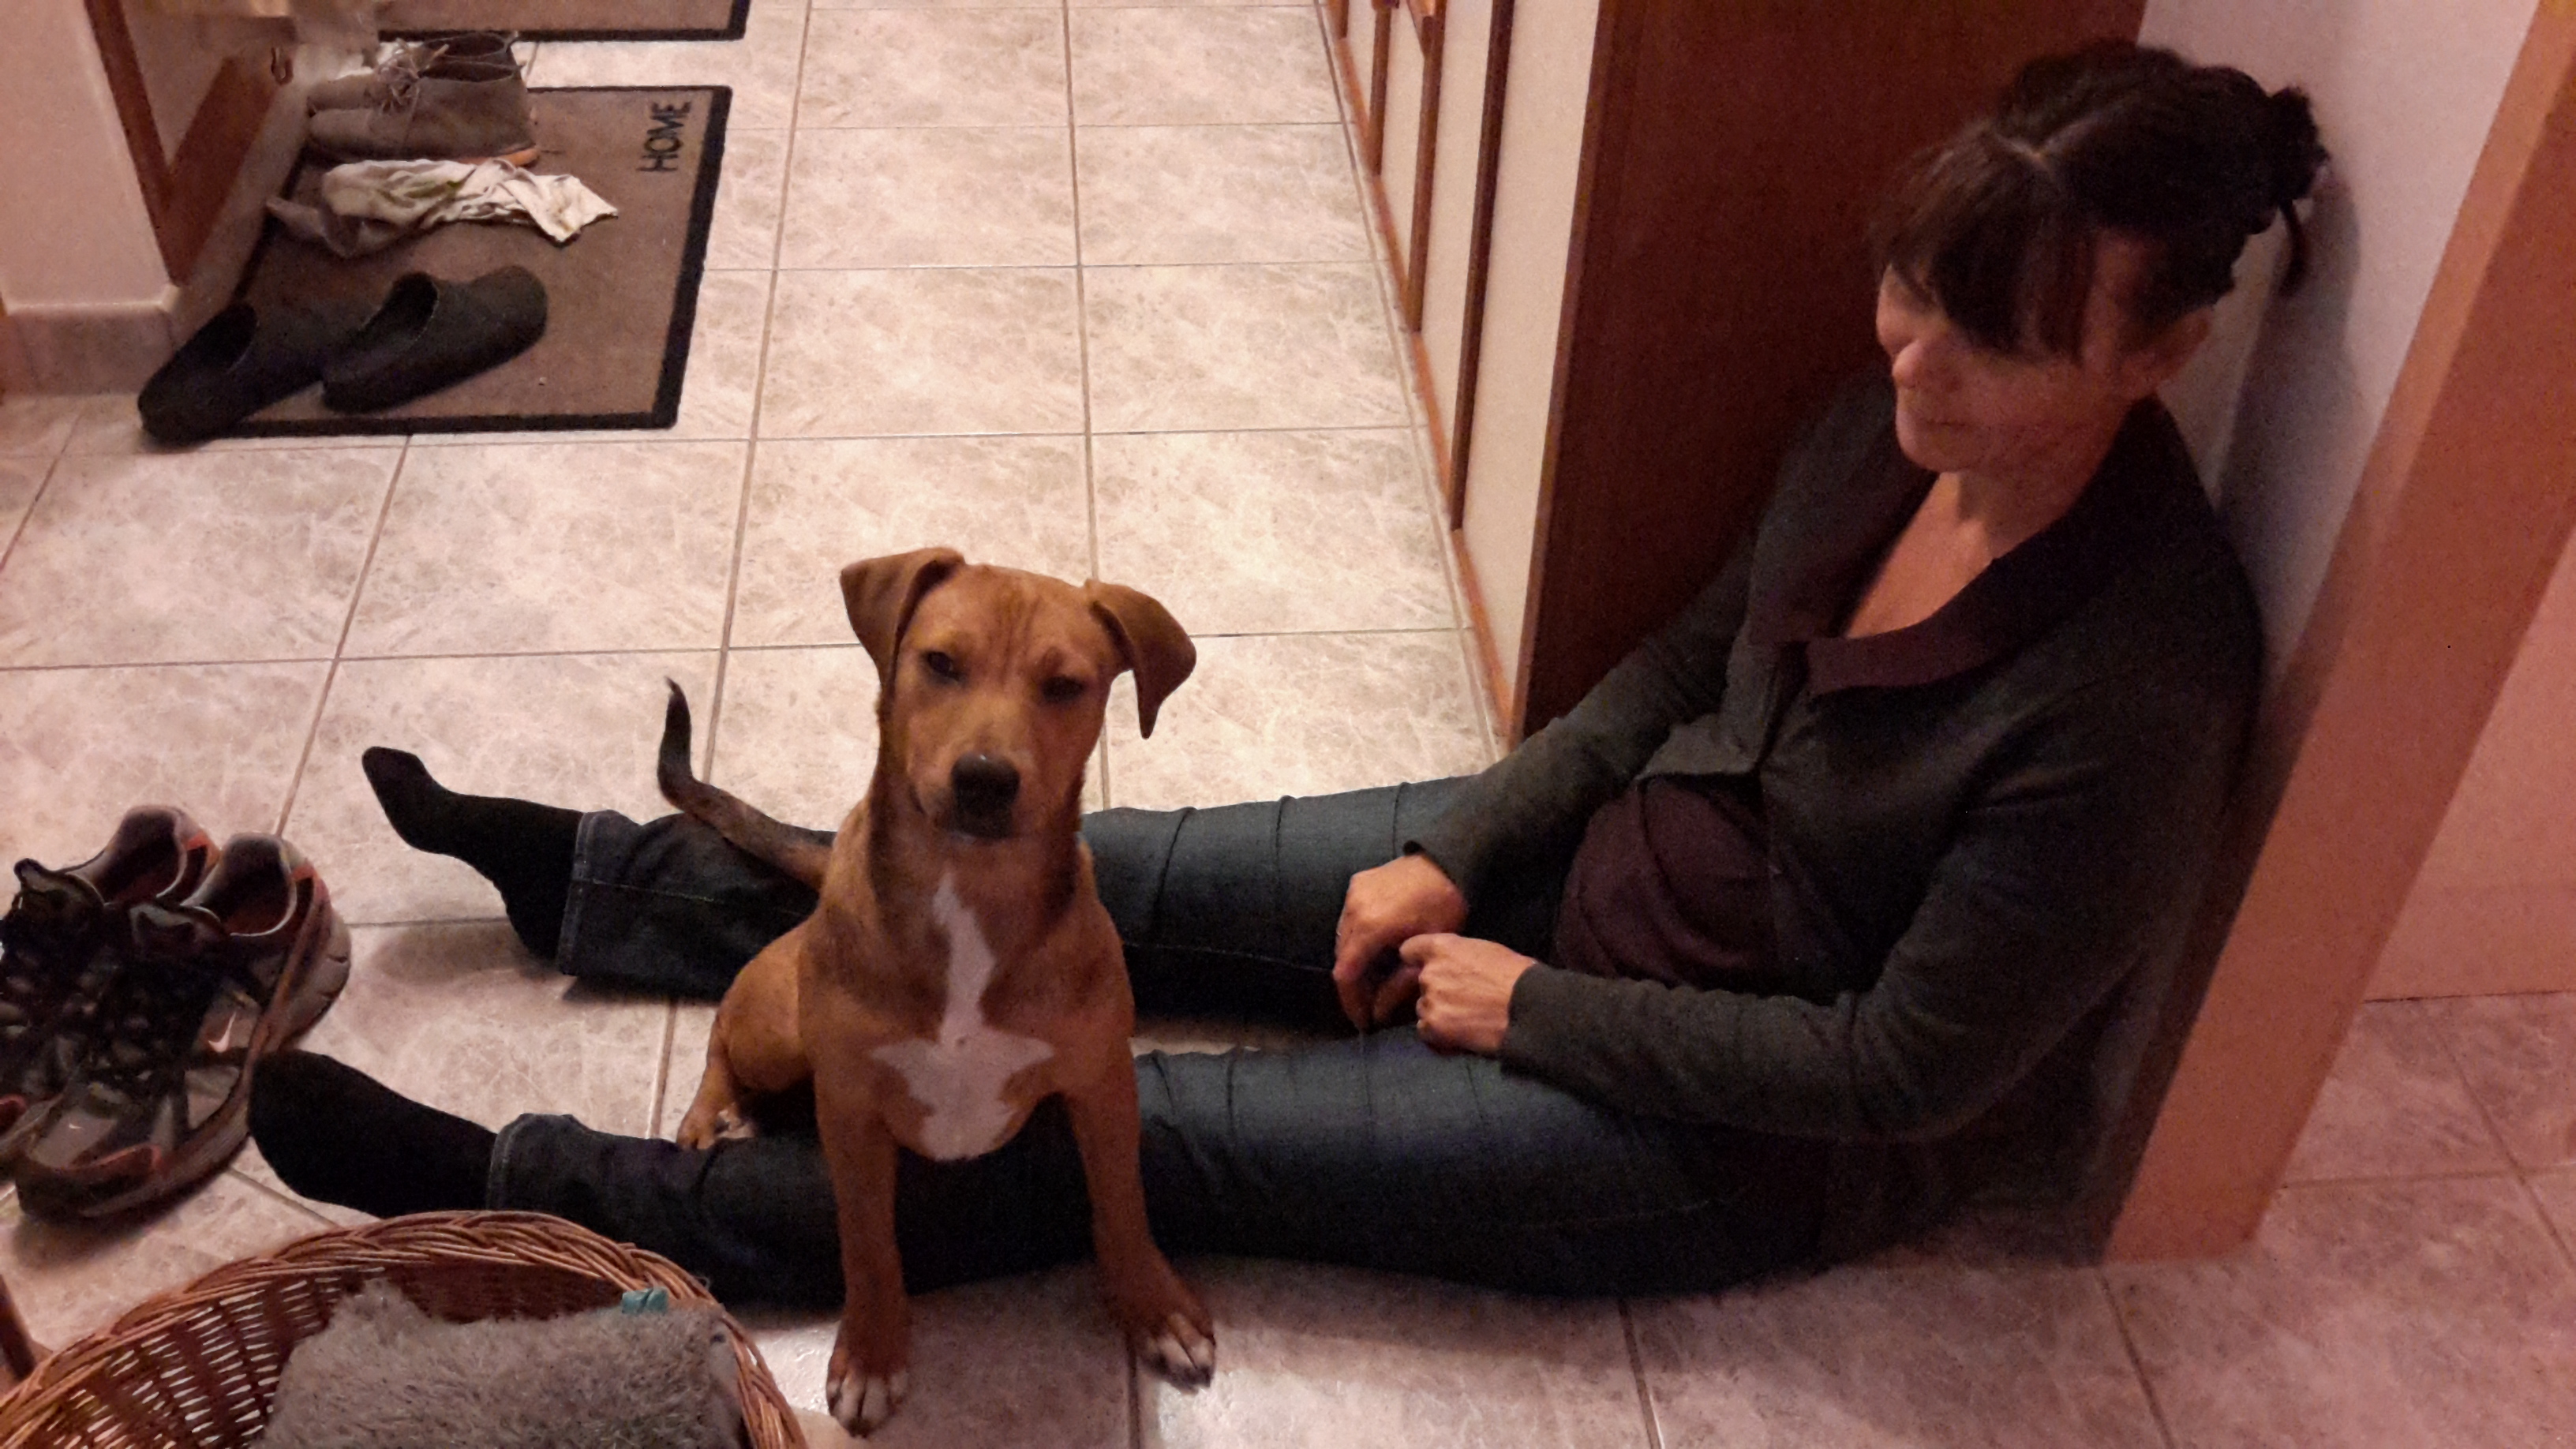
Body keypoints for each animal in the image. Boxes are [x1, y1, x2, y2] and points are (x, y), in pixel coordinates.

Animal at [659, 548, 1214, 1437]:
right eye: (941, 663)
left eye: (1066, 685)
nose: (985, 780)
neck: (967, 893)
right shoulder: (850, 1106)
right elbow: (866, 1240)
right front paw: (872, 1354)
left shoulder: (1101, 1081)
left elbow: (1123, 1201)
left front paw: (1155, 1307)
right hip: (779, 1031)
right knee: (724, 1027)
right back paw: (712, 1111)